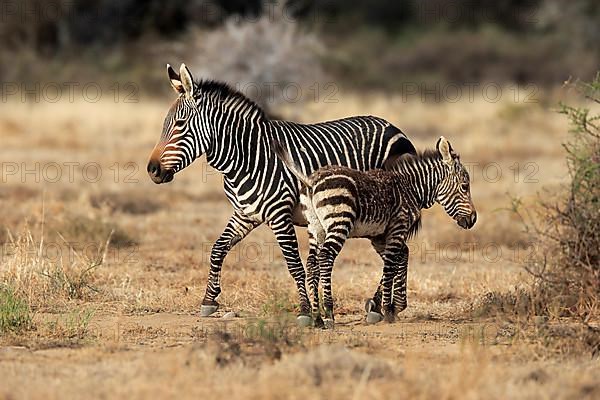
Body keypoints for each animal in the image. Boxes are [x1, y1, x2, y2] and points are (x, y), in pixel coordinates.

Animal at [148, 63, 414, 324]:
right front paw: (209, 300)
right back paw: (385, 306)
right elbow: (217, 249)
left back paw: (384, 306)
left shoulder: (279, 215)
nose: (152, 170)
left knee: (396, 252)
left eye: (180, 125)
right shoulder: (245, 214)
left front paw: (305, 311)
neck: (245, 158)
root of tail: (394, 127)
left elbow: (294, 264)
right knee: (399, 251)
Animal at [274, 136, 476, 326]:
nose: (473, 219)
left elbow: (400, 257)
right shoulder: (397, 227)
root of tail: (310, 180)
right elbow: (390, 266)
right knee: (325, 257)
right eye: (465, 186)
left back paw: (316, 317)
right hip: (339, 221)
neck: (411, 188)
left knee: (312, 263)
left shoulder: (379, 236)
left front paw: (395, 306)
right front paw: (387, 311)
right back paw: (329, 314)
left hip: (315, 228)